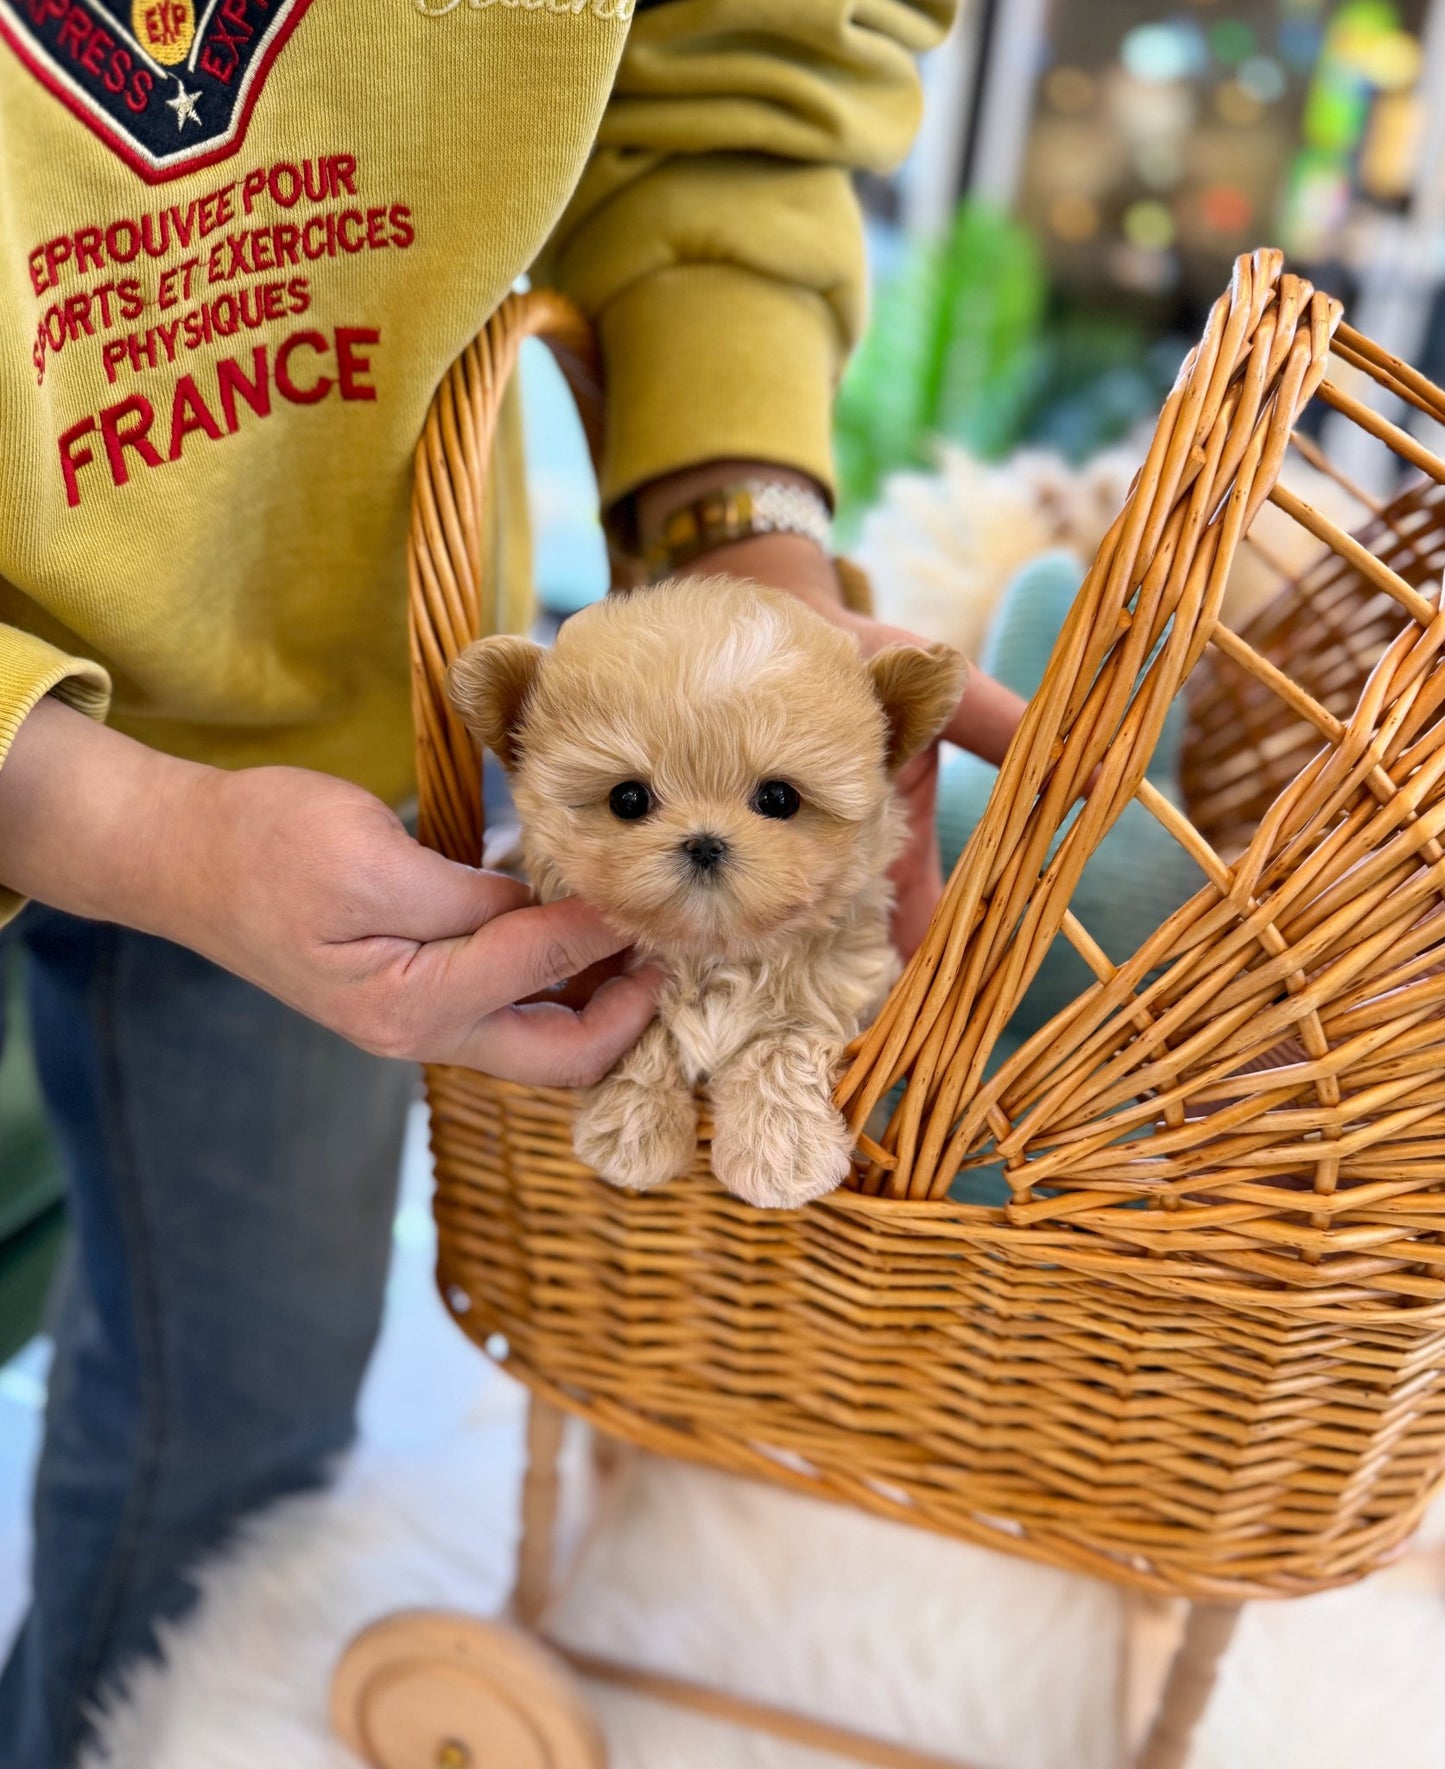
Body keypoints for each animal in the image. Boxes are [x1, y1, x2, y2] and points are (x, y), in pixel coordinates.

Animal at [447, 573, 969, 1209]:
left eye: (778, 798)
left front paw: (780, 1151)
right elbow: (643, 1033)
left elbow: (789, 1037)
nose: (703, 843)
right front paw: (634, 1136)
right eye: (628, 799)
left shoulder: (853, 981)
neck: (711, 952)